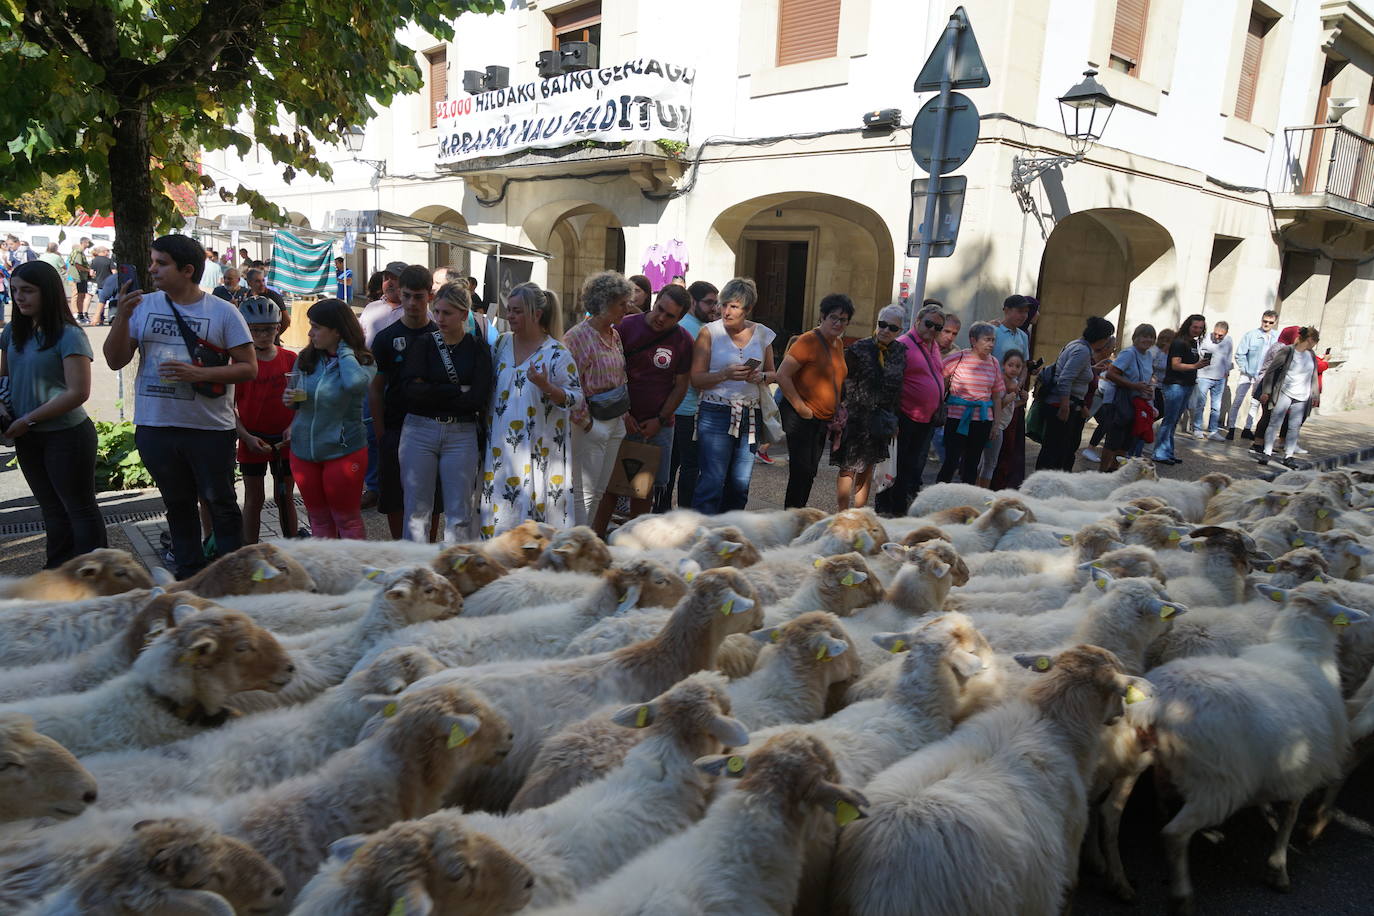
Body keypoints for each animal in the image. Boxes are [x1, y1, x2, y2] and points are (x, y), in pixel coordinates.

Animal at [1148, 585, 1363, 911]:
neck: (1300, 649)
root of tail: (1161, 706)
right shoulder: (1302, 767)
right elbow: (1290, 817)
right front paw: (1278, 869)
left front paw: (1267, 813)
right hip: (1217, 782)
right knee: (1174, 834)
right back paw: (1182, 896)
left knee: (1161, 794)